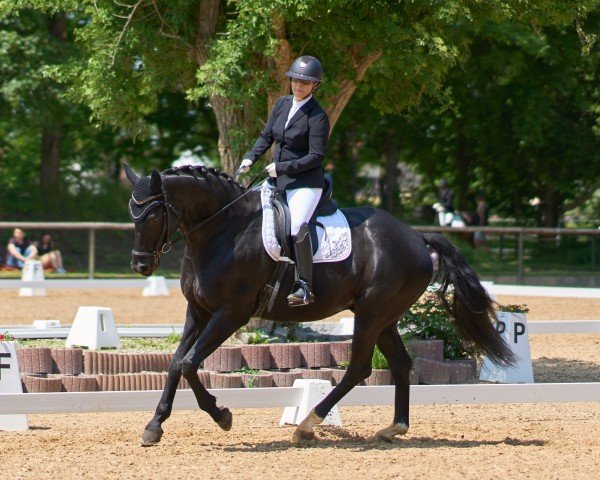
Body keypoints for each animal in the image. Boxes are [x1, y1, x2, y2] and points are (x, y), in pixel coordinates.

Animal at [124, 165, 512, 446]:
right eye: (132, 215)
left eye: (154, 216)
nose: (140, 266)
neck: (222, 230)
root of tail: (416, 236)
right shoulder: (199, 311)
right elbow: (176, 362)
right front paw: (154, 425)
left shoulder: (231, 313)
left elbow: (189, 363)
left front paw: (223, 416)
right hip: (383, 317)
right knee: (401, 364)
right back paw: (394, 428)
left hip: (371, 315)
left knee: (359, 369)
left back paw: (308, 425)